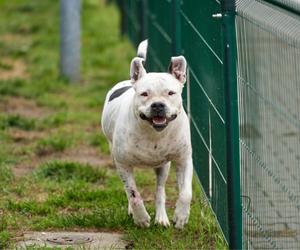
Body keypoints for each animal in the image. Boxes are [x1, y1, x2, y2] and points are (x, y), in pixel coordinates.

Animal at [102, 39, 193, 229]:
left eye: (171, 93)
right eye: (144, 94)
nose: (157, 105)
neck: (154, 133)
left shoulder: (184, 159)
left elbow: (186, 193)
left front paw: (181, 216)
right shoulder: (123, 164)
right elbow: (133, 194)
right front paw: (141, 218)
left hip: (163, 167)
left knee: (160, 190)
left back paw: (162, 218)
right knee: (130, 192)